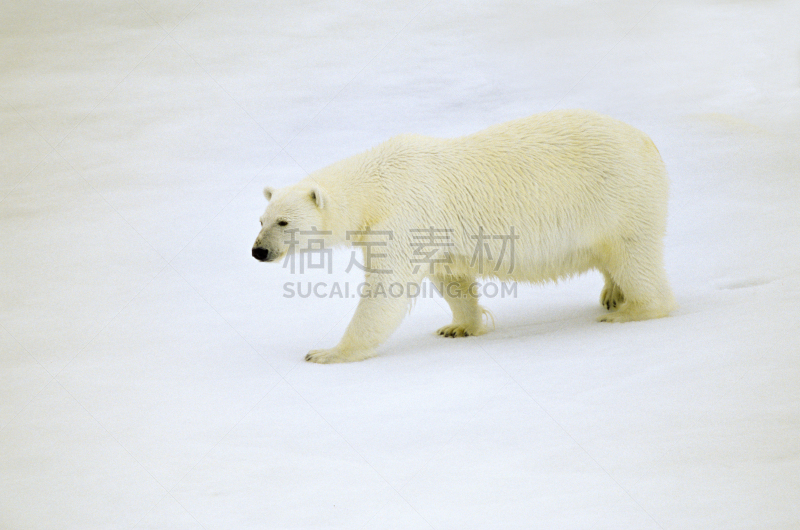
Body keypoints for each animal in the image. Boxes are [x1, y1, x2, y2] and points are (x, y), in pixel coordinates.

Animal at [255, 109, 676, 360]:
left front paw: (327, 352)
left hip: (619, 196)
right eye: (261, 220)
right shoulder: (436, 231)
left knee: (633, 254)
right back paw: (612, 294)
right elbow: (451, 277)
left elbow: (386, 289)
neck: (375, 183)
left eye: (284, 223)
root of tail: (649, 141)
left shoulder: (405, 213)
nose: (259, 252)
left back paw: (631, 310)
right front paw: (458, 327)